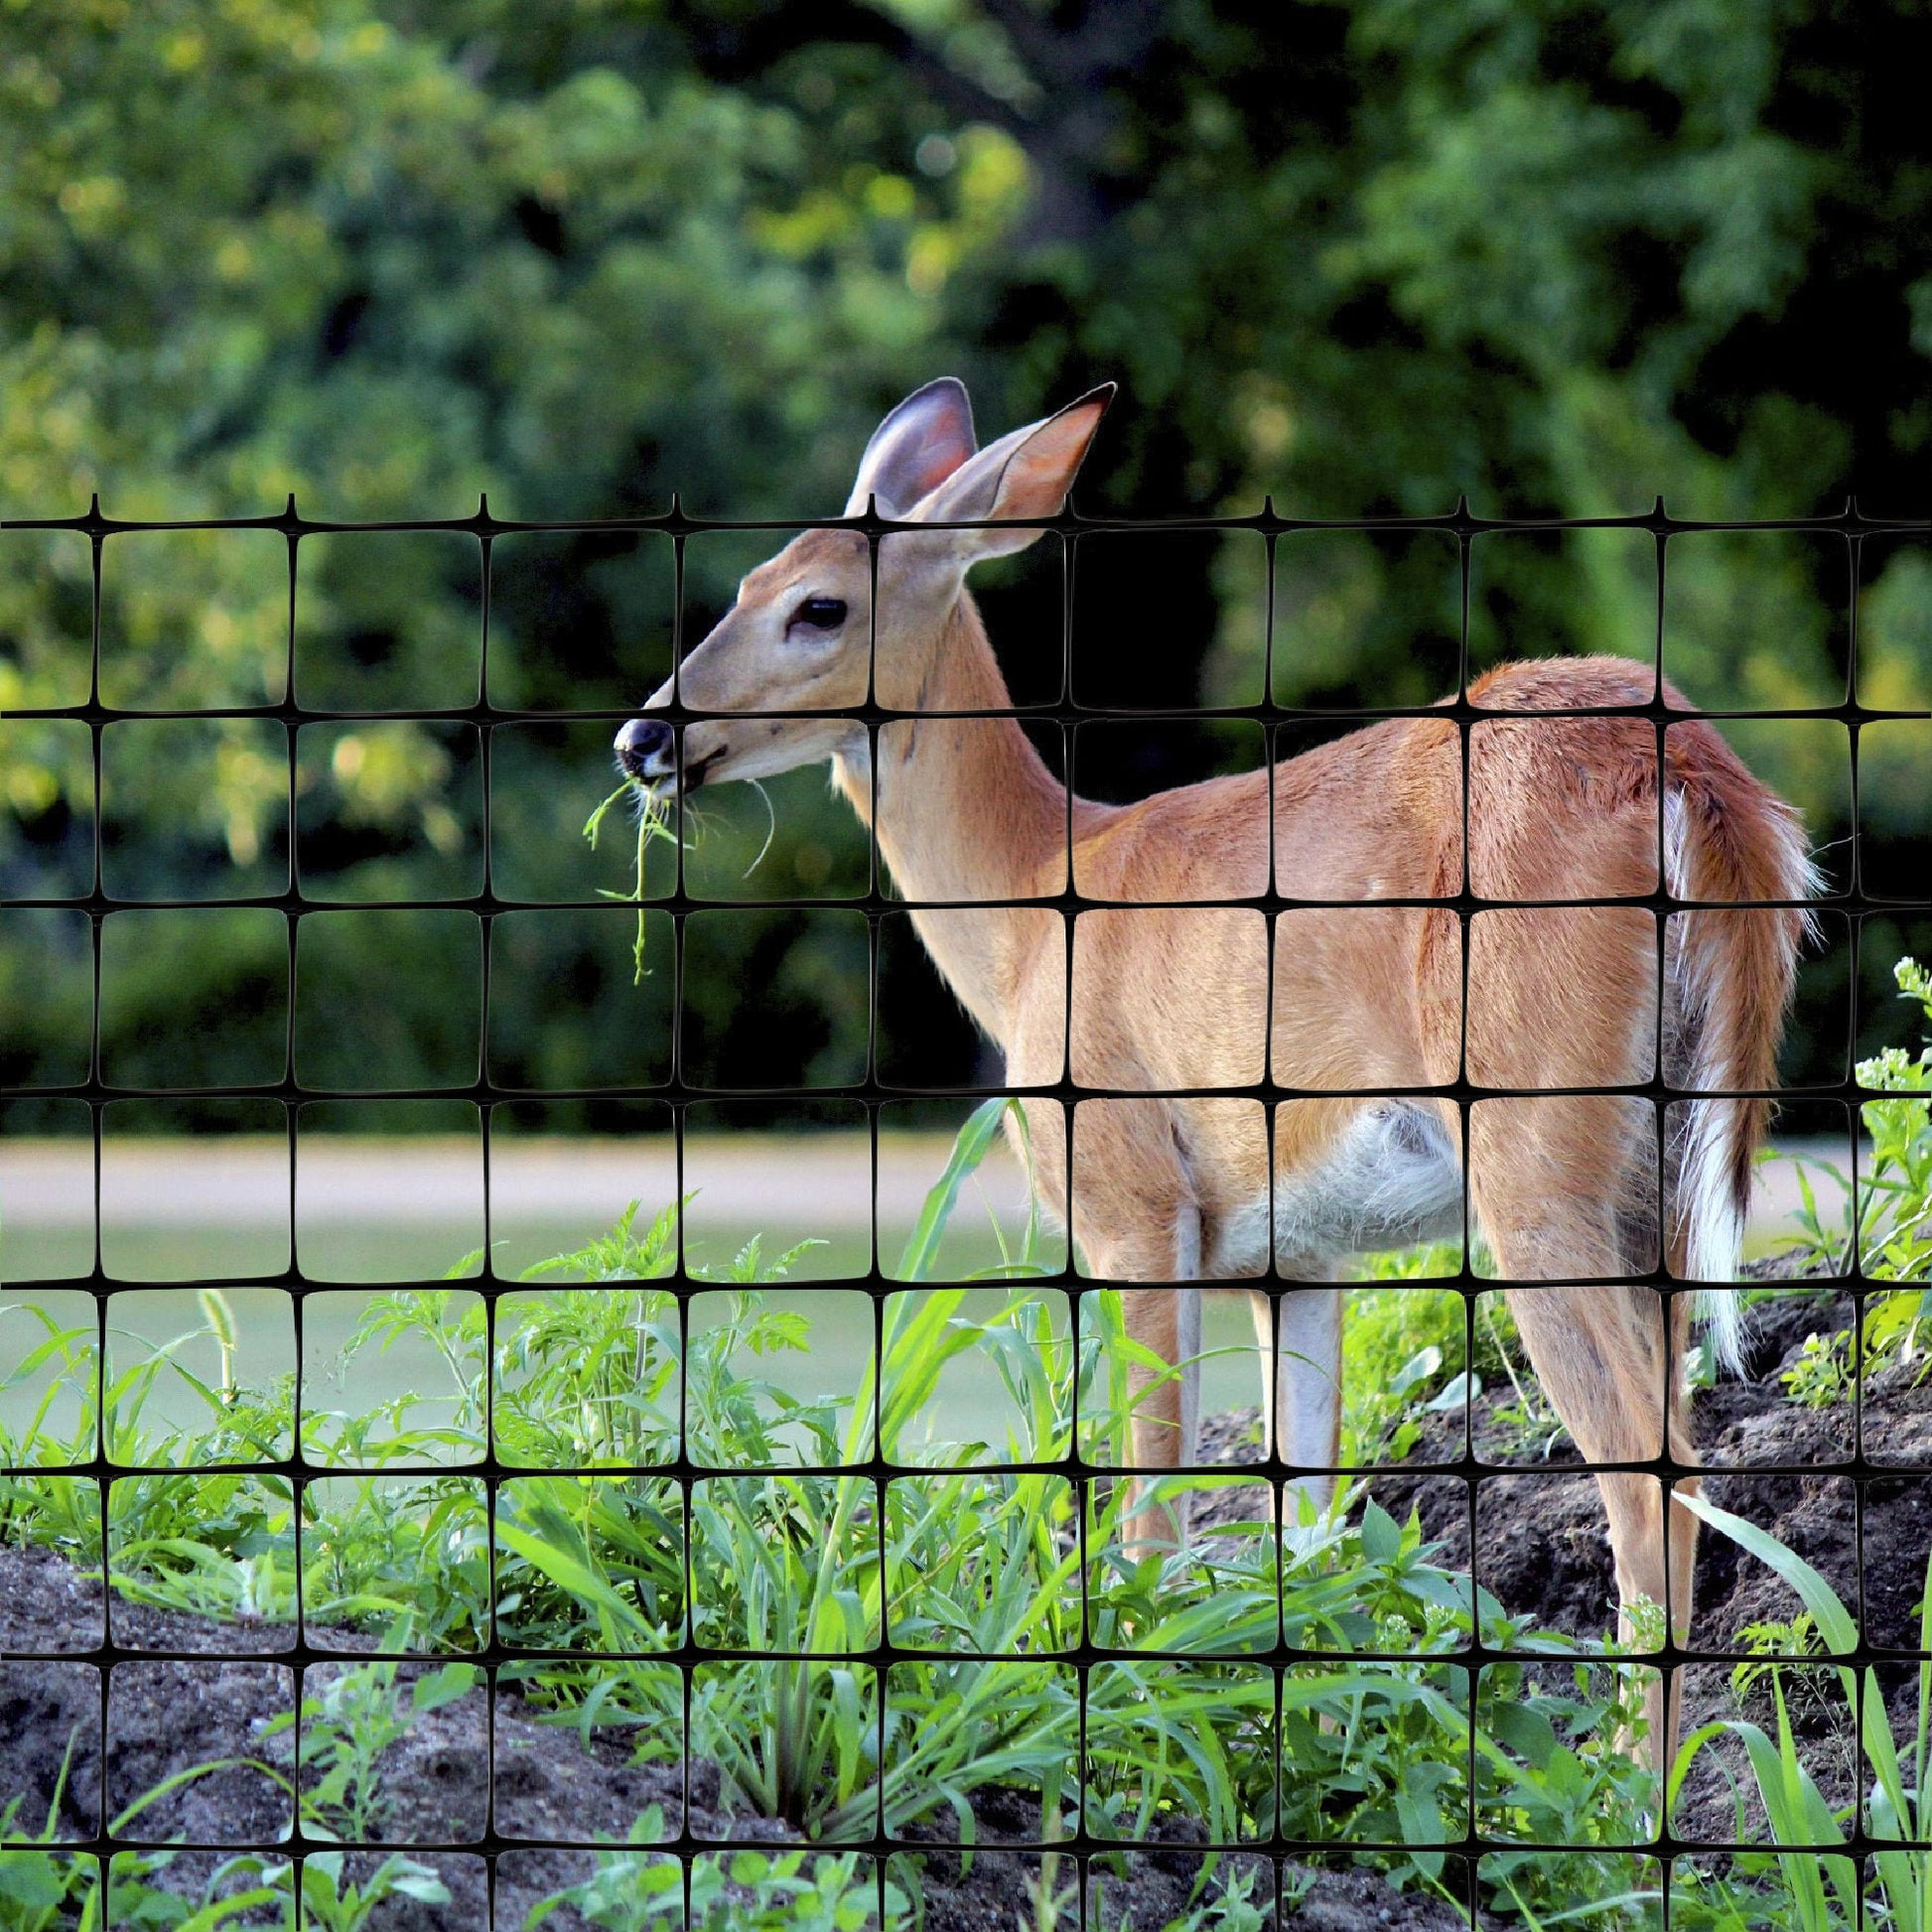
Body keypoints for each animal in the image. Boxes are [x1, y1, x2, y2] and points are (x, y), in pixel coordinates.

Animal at [613, 379, 1812, 1769]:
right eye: (741, 582)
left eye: (817, 604)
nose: (643, 734)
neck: (1030, 910)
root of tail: (1696, 778)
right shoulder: (1297, 1255)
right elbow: (1307, 1524)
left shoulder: (1132, 1198)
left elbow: (1151, 1502)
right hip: (1660, 1166)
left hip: (1533, 1154)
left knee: (1650, 1474)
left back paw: (1623, 1786)